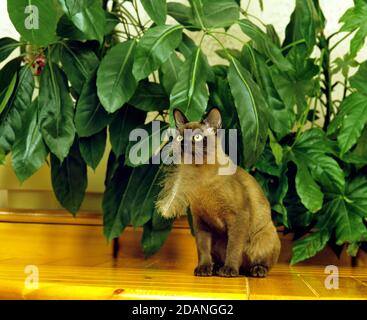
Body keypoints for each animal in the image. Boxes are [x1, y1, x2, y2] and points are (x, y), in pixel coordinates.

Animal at [156, 108, 282, 278]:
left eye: (197, 137)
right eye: (180, 137)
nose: (182, 144)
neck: (200, 177)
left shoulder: (238, 218)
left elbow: (233, 248)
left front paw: (229, 270)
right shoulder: (201, 222)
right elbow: (202, 249)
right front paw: (203, 268)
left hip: (264, 237)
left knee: (260, 264)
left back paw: (254, 270)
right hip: (217, 239)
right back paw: (215, 268)